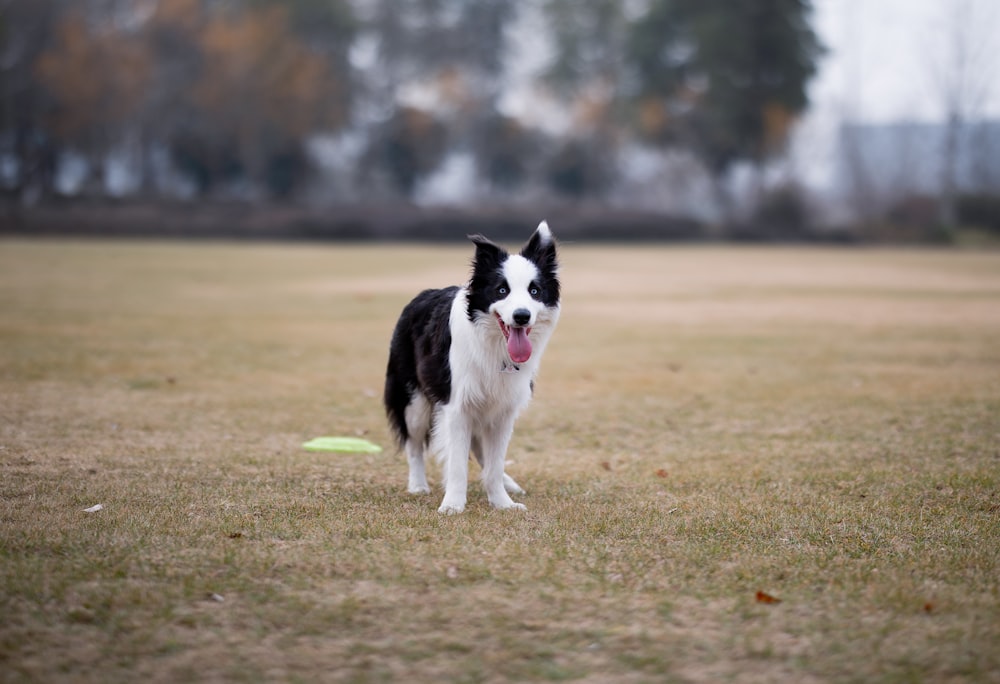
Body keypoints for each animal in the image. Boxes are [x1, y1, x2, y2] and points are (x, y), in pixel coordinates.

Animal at [382, 223, 560, 512]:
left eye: (535, 291)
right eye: (501, 290)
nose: (522, 316)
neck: (494, 346)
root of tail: (421, 294)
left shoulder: (503, 410)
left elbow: (494, 464)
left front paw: (502, 503)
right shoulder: (457, 406)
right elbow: (456, 464)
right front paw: (453, 506)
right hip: (414, 401)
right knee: (414, 444)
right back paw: (418, 485)